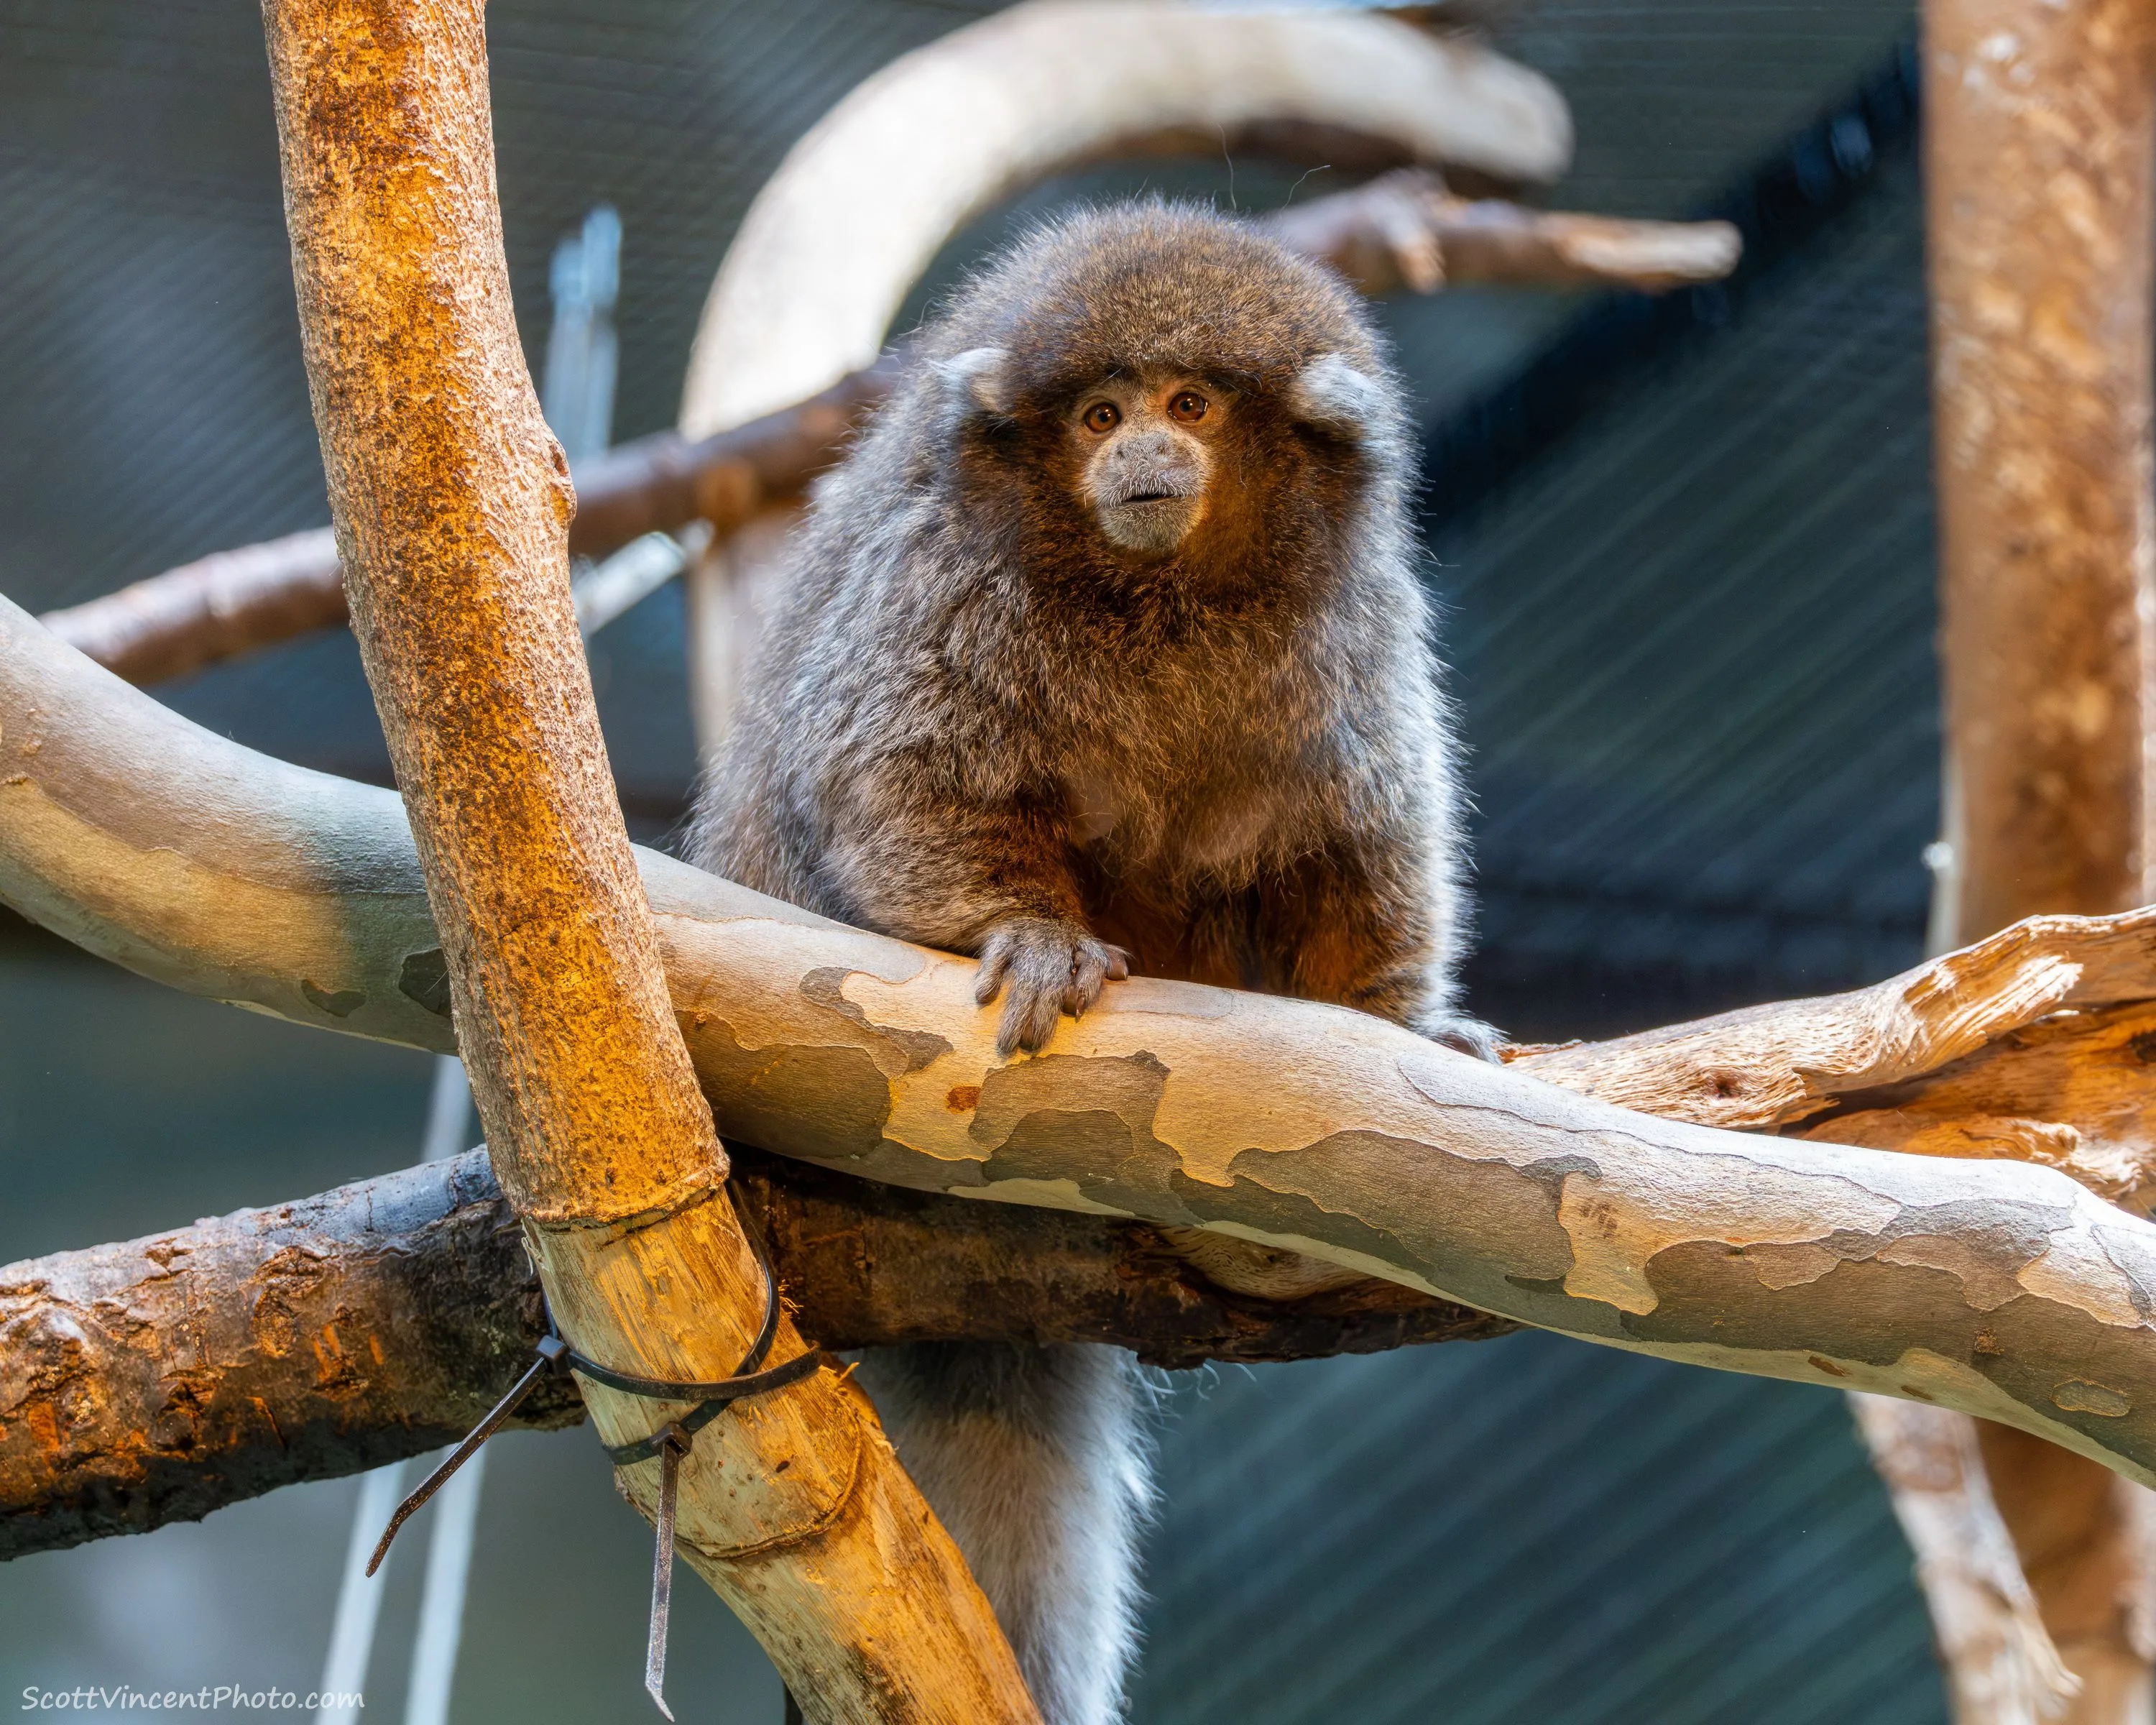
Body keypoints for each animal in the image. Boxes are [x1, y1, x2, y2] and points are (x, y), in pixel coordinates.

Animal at [689, 199, 1491, 1725]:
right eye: (1099, 414)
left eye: (1192, 407)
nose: (1140, 459)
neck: (1161, 607)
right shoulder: (947, 580)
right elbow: (891, 777)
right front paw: (1031, 933)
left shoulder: (1353, 626)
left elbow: (1359, 848)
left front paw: (1403, 1028)